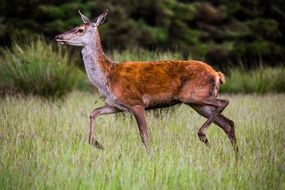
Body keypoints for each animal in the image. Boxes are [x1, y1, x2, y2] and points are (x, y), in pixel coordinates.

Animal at [55, 9, 237, 154]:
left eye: (80, 29)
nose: (58, 36)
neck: (107, 78)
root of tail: (217, 74)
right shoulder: (116, 105)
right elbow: (93, 112)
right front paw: (97, 144)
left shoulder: (136, 102)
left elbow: (145, 135)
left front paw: (149, 156)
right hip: (198, 103)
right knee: (228, 123)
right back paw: (235, 156)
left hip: (192, 95)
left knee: (224, 102)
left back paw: (204, 135)